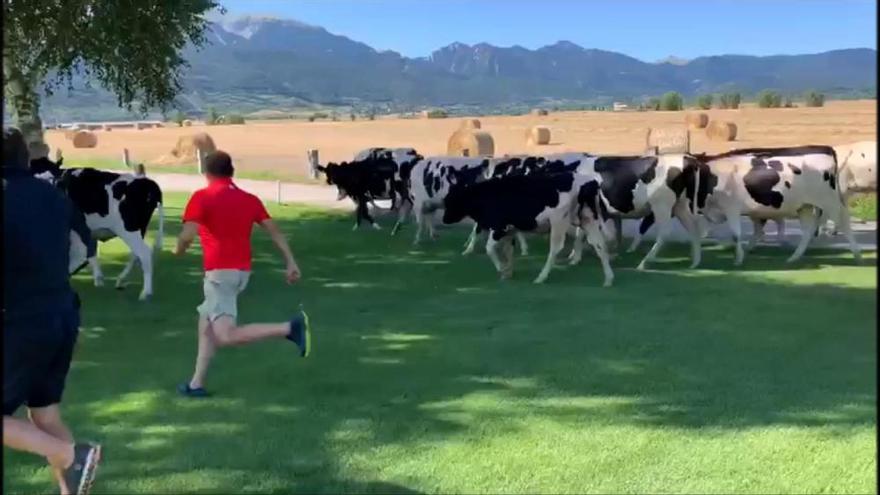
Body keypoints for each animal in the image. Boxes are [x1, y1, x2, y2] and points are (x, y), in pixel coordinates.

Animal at [29, 157, 164, 300]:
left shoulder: (75, 232)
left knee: (144, 253)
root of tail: (147, 183)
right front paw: (98, 279)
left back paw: (145, 292)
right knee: (135, 254)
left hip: (129, 230)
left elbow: (79, 254)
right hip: (138, 231)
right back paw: (121, 280)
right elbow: (91, 253)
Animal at [444, 170, 616, 286]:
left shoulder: (499, 227)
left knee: (555, 248)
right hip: (588, 219)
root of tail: (588, 180)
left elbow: (489, 248)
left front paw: (501, 269)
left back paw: (541, 277)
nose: (444, 219)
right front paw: (508, 272)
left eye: (452, 200)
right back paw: (608, 279)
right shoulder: (509, 230)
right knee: (599, 244)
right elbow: (508, 251)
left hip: (559, 221)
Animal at [688, 145, 860, 266]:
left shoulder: (731, 208)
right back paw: (794, 257)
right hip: (804, 206)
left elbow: (736, 234)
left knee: (844, 221)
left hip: (829, 201)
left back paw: (857, 255)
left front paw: (738, 258)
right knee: (808, 230)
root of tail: (826, 149)